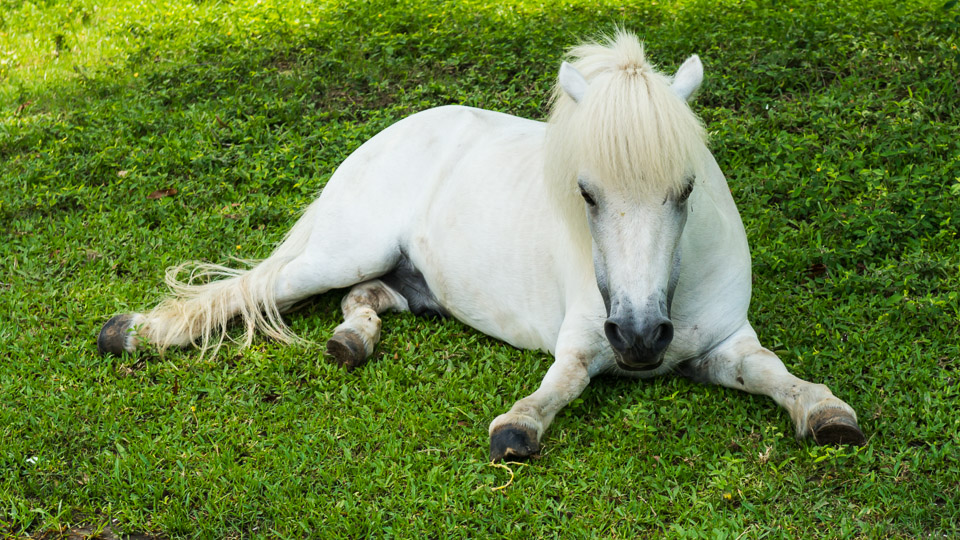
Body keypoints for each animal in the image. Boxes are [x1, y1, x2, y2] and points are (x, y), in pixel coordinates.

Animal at [101, 31, 868, 458]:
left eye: (685, 189)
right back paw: (136, 332)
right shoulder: (584, 336)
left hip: (409, 283)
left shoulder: (727, 343)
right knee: (254, 290)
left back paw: (351, 342)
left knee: (362, 299)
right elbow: (563, 382)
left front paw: (825, 411)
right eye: (586, 193)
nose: (641, 338)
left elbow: (773, 372)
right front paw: (519, 427)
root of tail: (394, 130)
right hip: (341, 252)